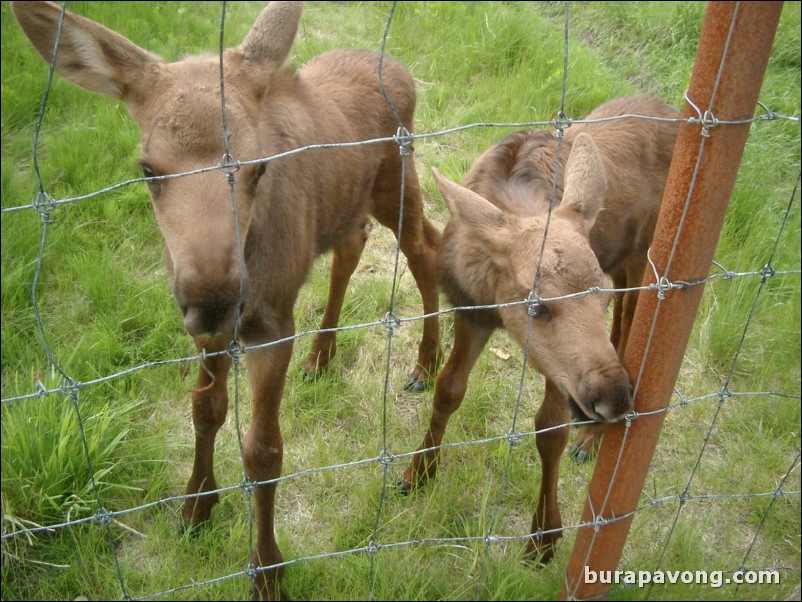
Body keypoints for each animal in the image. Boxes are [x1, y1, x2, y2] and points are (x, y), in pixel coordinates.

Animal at [10, 2, 438, 596]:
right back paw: (323, 354)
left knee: (428, 251)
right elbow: (205, 410)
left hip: (398, 179)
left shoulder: (273, 325)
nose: (213, 297)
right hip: (349, 203)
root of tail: (399, 70)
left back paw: (425, 366)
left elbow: (264, 452)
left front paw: (267, 570)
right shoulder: (210, 331)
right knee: (354, 245)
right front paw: (196, 505)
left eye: (259, 166)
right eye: (147, 169)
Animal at [400, 96, 676, 560]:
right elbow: (448, 390)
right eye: (537, 307)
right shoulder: (473, 311)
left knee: (629, 321)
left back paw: (592, 440)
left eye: (597, 298)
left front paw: (545, 536)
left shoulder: (557, 369)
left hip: (644, 257)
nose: (615, 399)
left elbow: (550, 430)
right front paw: (417, 472)